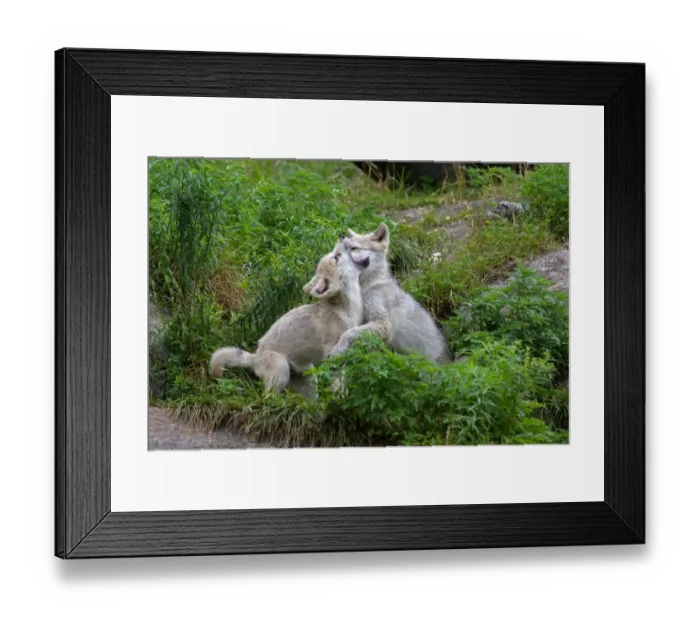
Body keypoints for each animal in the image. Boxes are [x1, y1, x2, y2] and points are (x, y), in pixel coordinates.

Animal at [209, 240, 363, 393]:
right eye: (335, 257)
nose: (342, 236)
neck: (345, 310)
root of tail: (255, 358)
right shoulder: (331, 354)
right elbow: (337, 384)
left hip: (309, 379)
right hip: (282, 371)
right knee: (268, 396)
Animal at [330, 223, 452, 364]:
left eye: (354, 248)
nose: (341, 235)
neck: (369, 285)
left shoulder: (383, 323)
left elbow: (348, 333)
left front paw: (337, 350)